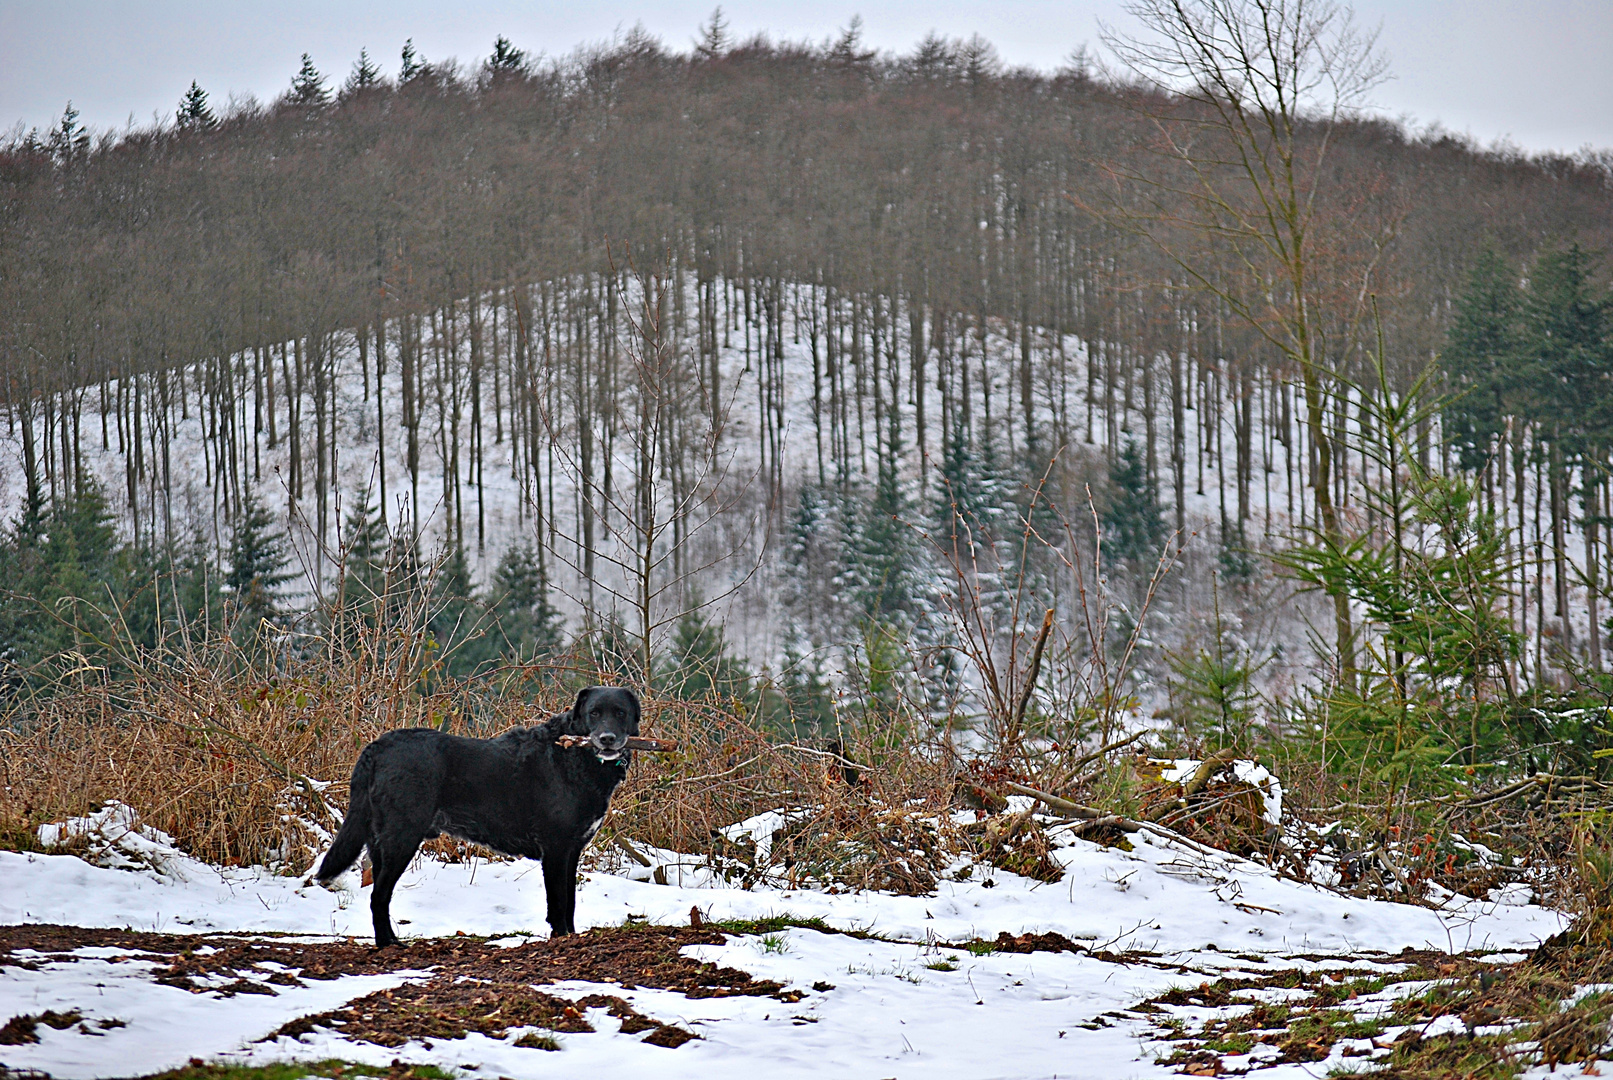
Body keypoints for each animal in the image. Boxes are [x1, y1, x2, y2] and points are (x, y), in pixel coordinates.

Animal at [311, 686, 638, 947]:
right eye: (594, 713)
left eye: (620, 713)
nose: (607, 738)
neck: (576, 758)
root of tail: (378, 746)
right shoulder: (556, 849)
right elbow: (558, 902)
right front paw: (561, 939)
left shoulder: (572, 851)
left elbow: (569, 902)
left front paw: (570, 935)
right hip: (401, 839)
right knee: (378, 896)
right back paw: (388, 945)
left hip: (381, 842)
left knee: (380, 893)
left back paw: (390, 939)